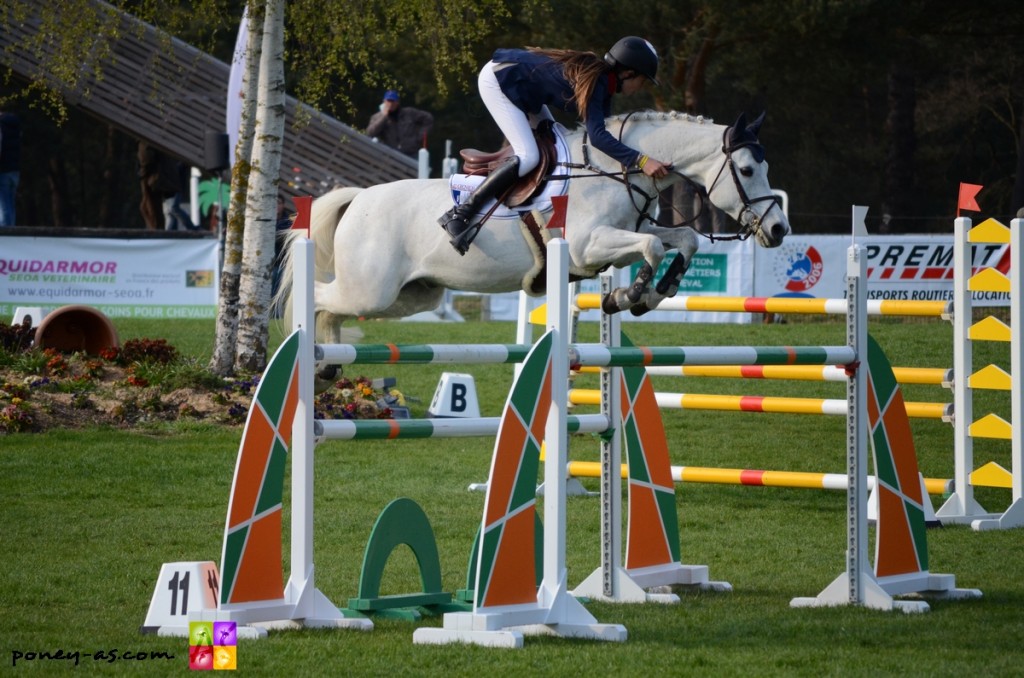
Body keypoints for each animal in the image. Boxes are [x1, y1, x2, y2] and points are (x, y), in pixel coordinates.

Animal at [276, 109, 786, 348]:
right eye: (745, 169)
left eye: (763, 167)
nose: (779, 229)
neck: (617, 167)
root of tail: (357, 197)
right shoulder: (587, 247)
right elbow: (652, 248)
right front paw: (629, 295)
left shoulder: (623, 237)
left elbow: (683, 239)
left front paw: (656, 292)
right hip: (371, 290)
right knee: (317, 299)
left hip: (412, 296)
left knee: (334, 313)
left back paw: (329, 368)